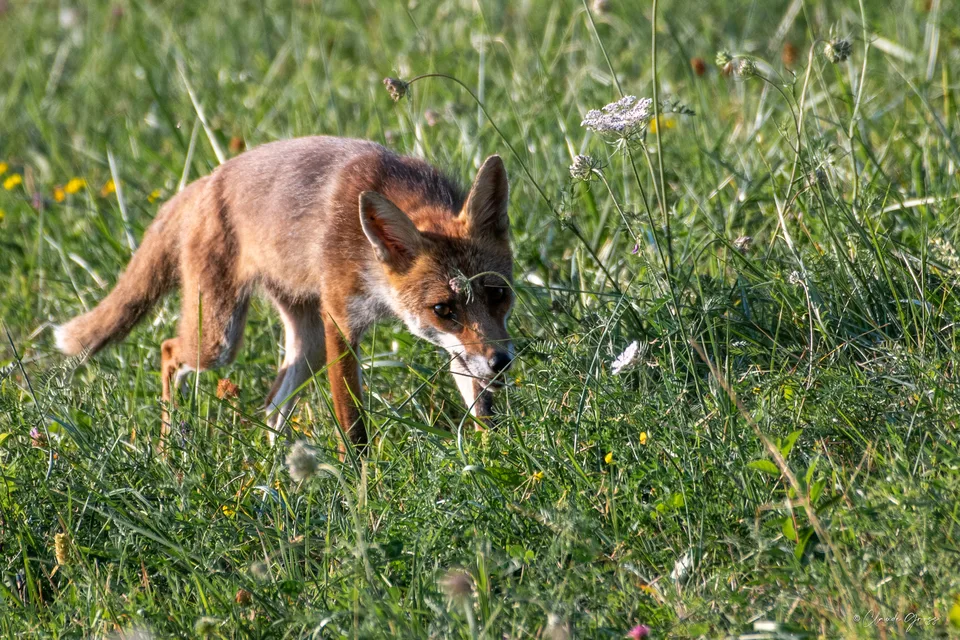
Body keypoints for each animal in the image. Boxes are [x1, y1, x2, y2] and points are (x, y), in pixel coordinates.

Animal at [54, 136, 515, 453]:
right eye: (443, 308)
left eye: (498, 293)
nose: (502, 361)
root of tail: (204, 181)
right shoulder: (340, 322)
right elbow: (353, 423)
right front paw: (362, 484)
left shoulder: (458, 348)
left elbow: (479, 403)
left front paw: (493, 454)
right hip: (220, 339)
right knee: (169, 350)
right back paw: (172, 449)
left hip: (306, 345)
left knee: (272, 406)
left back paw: (278, 473)